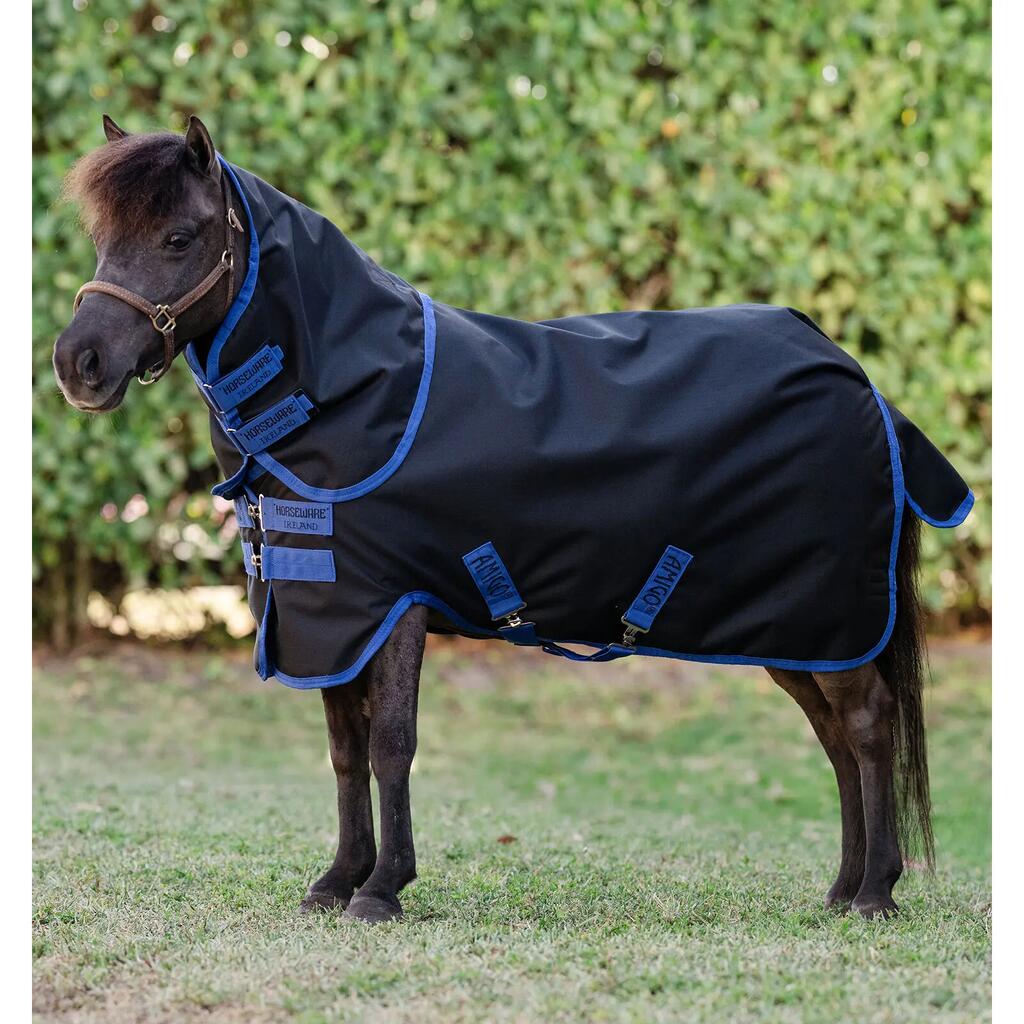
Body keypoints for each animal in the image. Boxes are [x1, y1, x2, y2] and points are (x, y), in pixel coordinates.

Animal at [52, 115, 973, 924]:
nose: (79, 364)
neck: (354, 394)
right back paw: (841, 889)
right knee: (834, 737)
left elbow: (390, 743)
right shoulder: (330, 612)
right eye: (102, 238)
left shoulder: (392, 605)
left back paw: (876, 894)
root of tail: (860, 383)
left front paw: (381, 890)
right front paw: (336, 881)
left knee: (866, 725)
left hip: (828, 616)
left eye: (180, 237)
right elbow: (345, 748)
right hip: (795, 630)